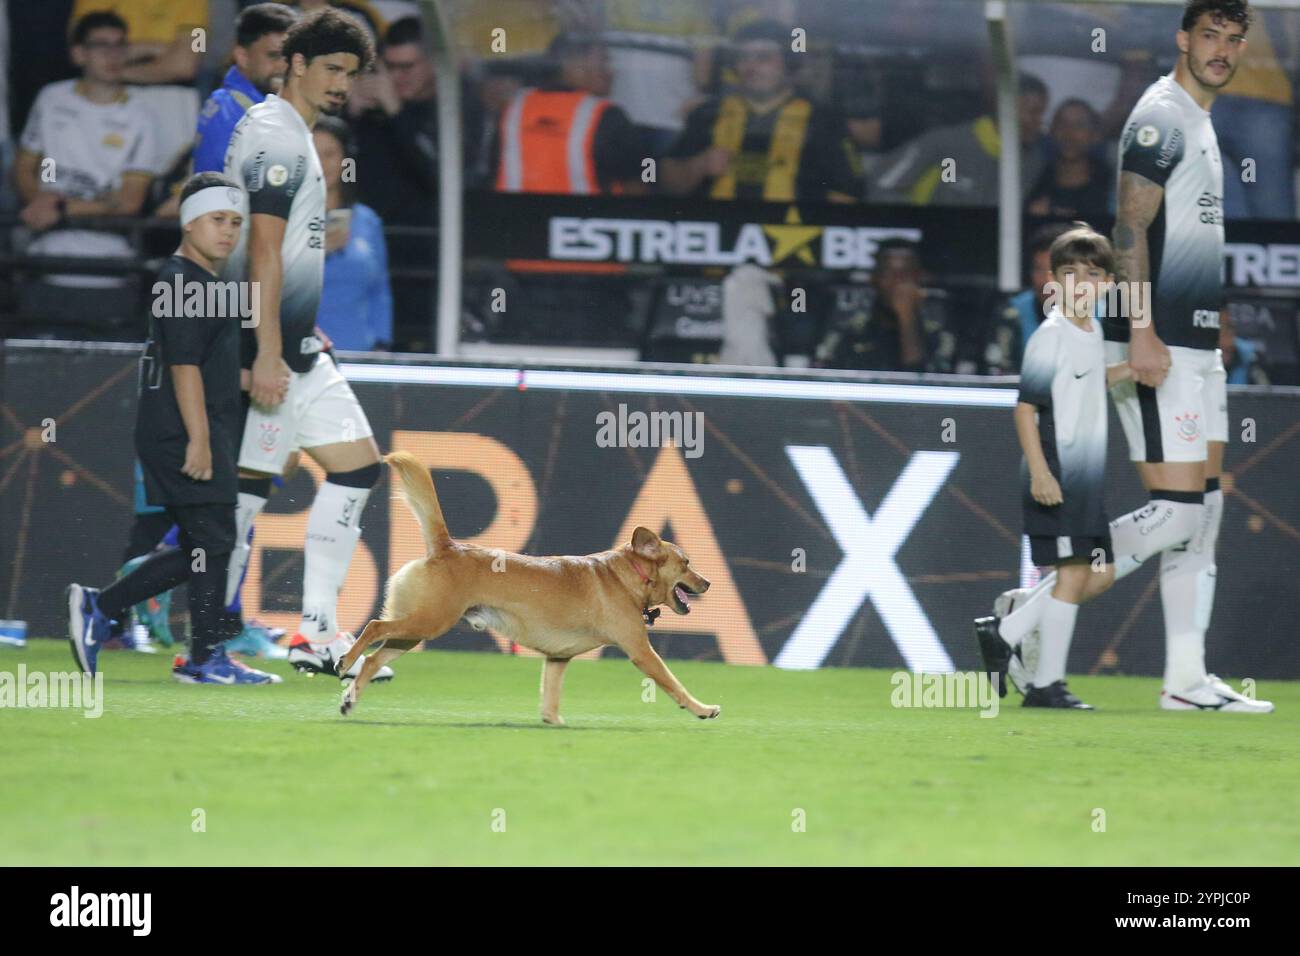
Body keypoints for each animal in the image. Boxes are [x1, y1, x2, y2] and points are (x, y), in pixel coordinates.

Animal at [335, 450, 722, 723]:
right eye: (687, 562)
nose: (708, 582)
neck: (625, 575)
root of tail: (448, 546)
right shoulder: (641, 650)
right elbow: (673, 683)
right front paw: (702, 708)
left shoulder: (558, 657)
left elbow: (550, 697)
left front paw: (554, 723)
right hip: (428, 621)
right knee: (374, 627)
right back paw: (344, 661)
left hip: (416, 630)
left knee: (374, 659)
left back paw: (350, 698)